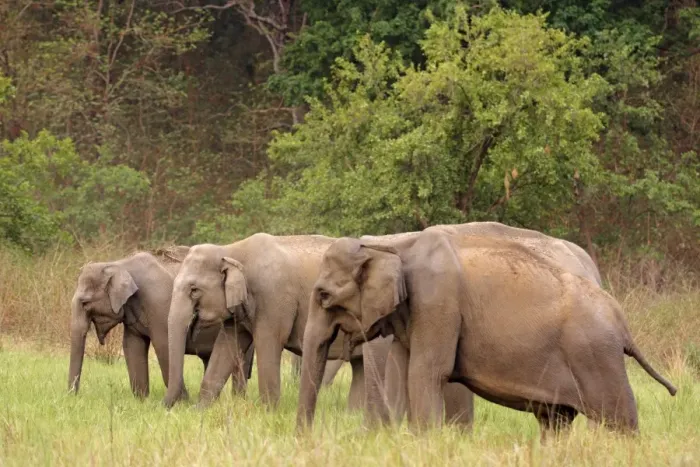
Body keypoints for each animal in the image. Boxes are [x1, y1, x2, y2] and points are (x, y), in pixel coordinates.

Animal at [68, 248, 253, 399]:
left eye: (85, 302)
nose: (73, 397)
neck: (120, 263)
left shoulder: (158, 305)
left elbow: (164, 346)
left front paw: (182, 402)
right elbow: (132, 346)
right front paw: (142, 400)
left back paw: (238, 400)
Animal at [162, 233, 388, 410]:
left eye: (194, 290)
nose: (165, 408)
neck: (231, 249)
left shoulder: (273, 298)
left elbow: (268, 343)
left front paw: (268, 413)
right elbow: (226, 347)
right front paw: (199, 411)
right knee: (360, 368)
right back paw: (353, 414)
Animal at [297, 228, 676, 433]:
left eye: (324, 295)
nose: (307, 437)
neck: (396, 244)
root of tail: (622, 322)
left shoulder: (438, 304)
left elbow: (427, 373)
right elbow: (404, 371)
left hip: (596, 356)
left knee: (620, 418)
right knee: (555, 420)